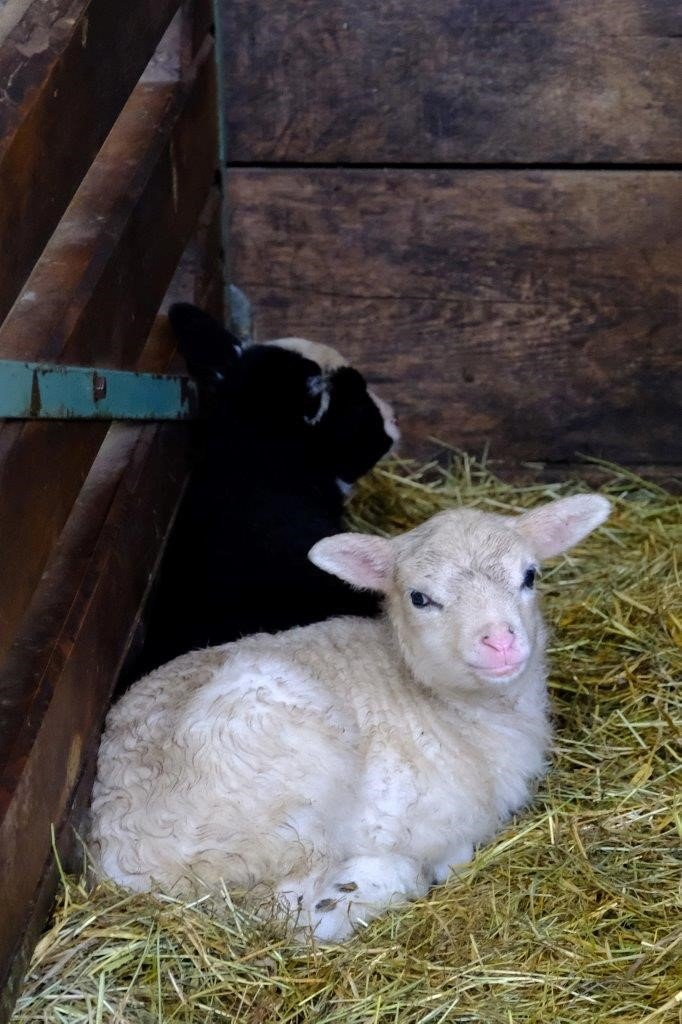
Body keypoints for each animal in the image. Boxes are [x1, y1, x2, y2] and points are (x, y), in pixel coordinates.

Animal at [89, 491, 606, 937]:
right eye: (420, 598)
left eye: (530, 576)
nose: (500, 642)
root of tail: (114, 852)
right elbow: (447, 856)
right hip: (286, 793)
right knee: (289, 911)